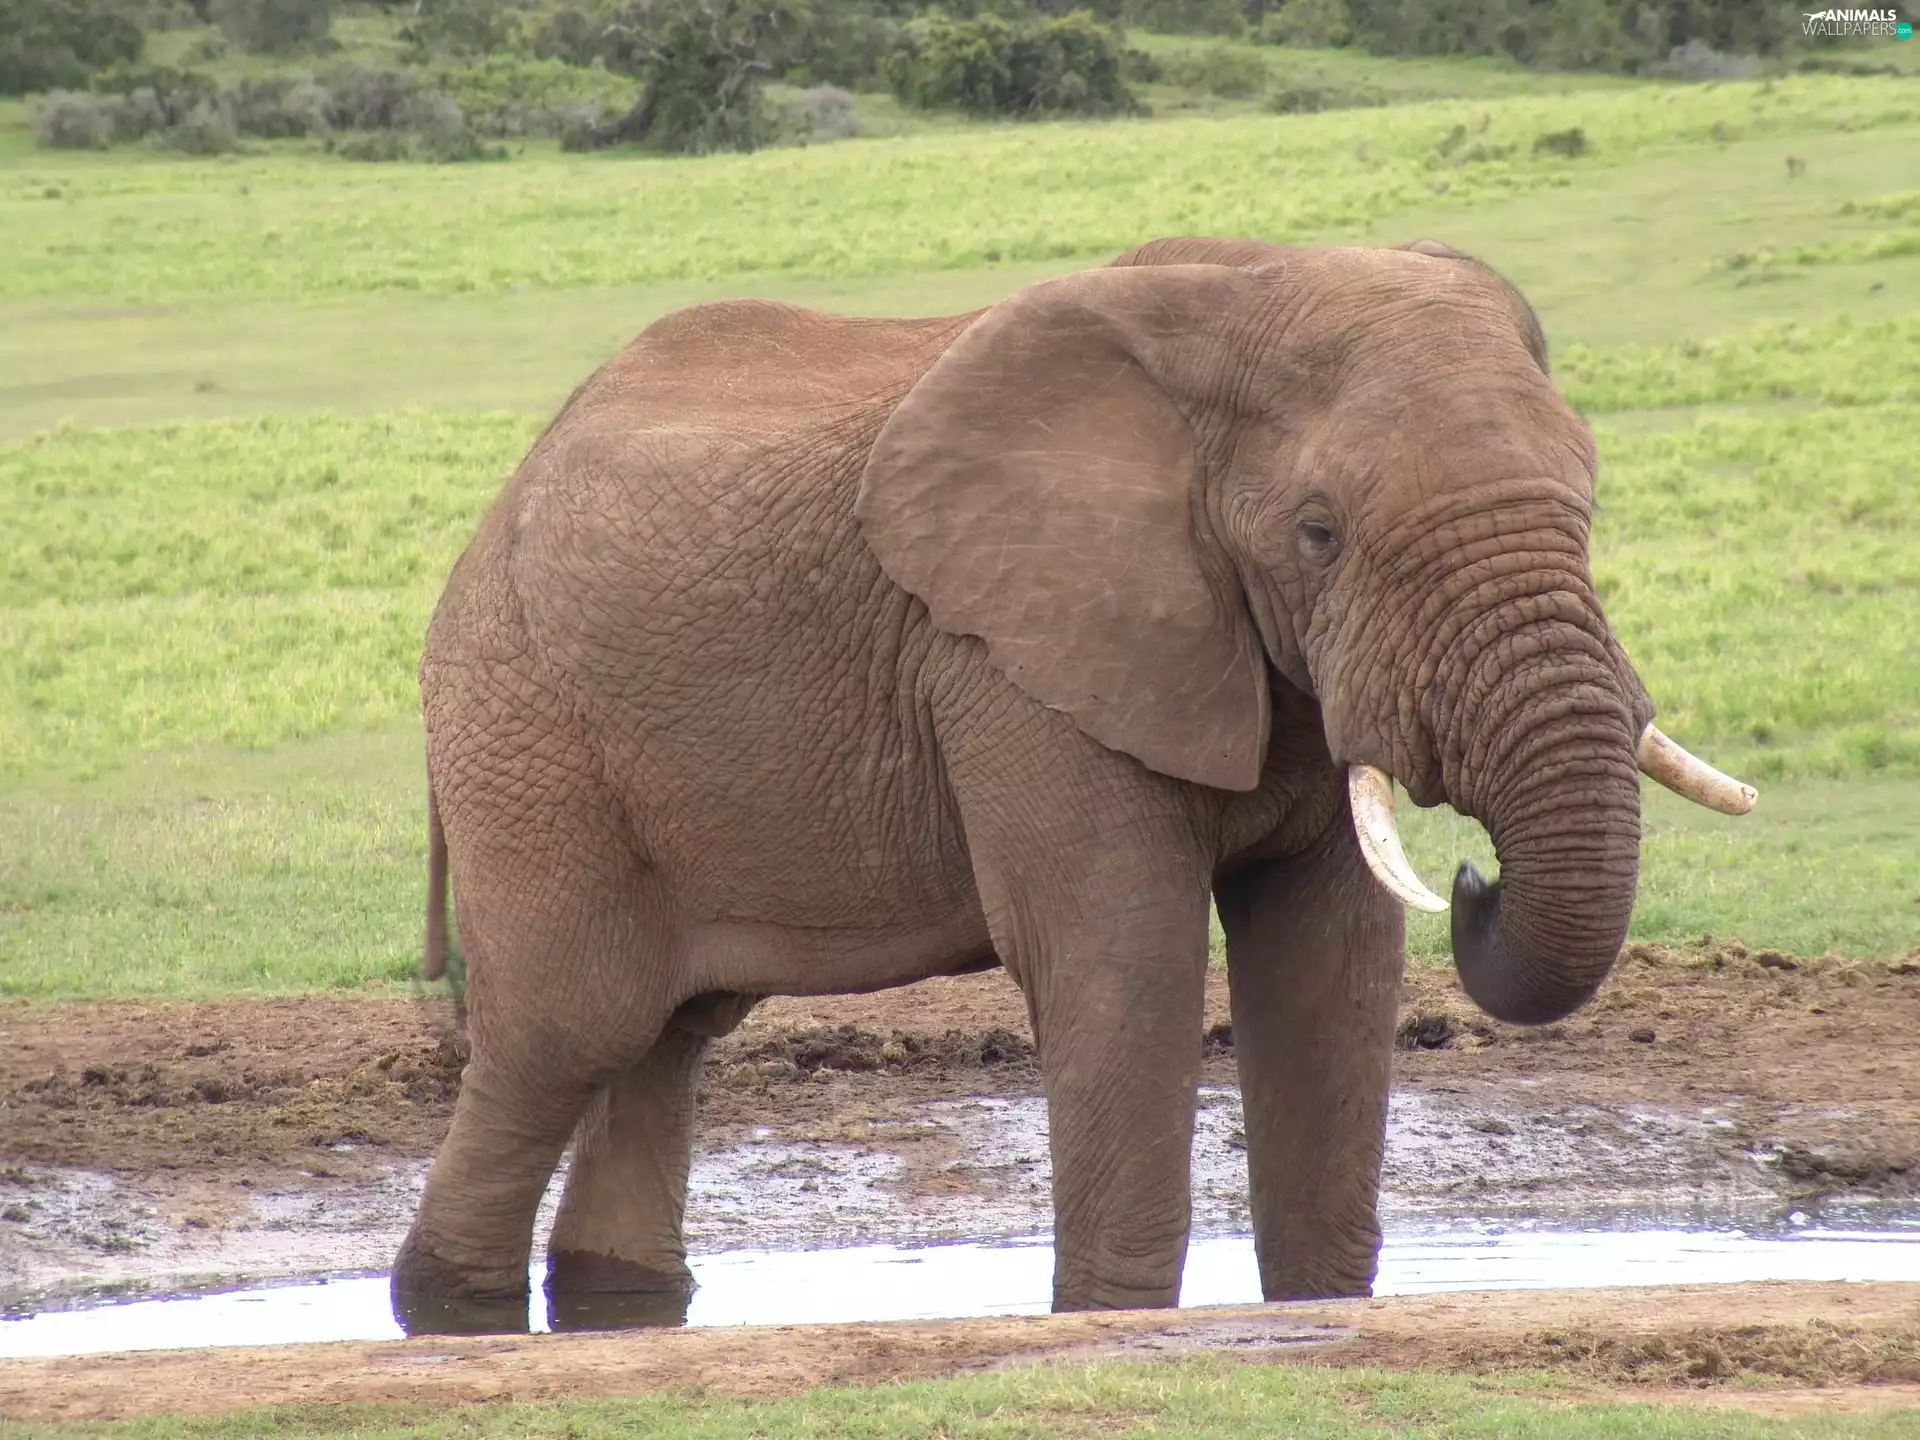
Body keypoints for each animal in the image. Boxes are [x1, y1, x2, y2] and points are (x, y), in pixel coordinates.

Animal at [393, 235, 1755, 1327]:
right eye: (1318, 533)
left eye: (1590, 502)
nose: (1475, 878)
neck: (1235, 299)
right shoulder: (1011, 657)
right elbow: (1120, 953)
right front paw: (1113, 1317)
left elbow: (1327, 963)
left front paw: (1319, 1309)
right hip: (526, 726)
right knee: (568, 1031)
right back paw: (446, 1307)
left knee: (668, 1039)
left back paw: (612, 1302)